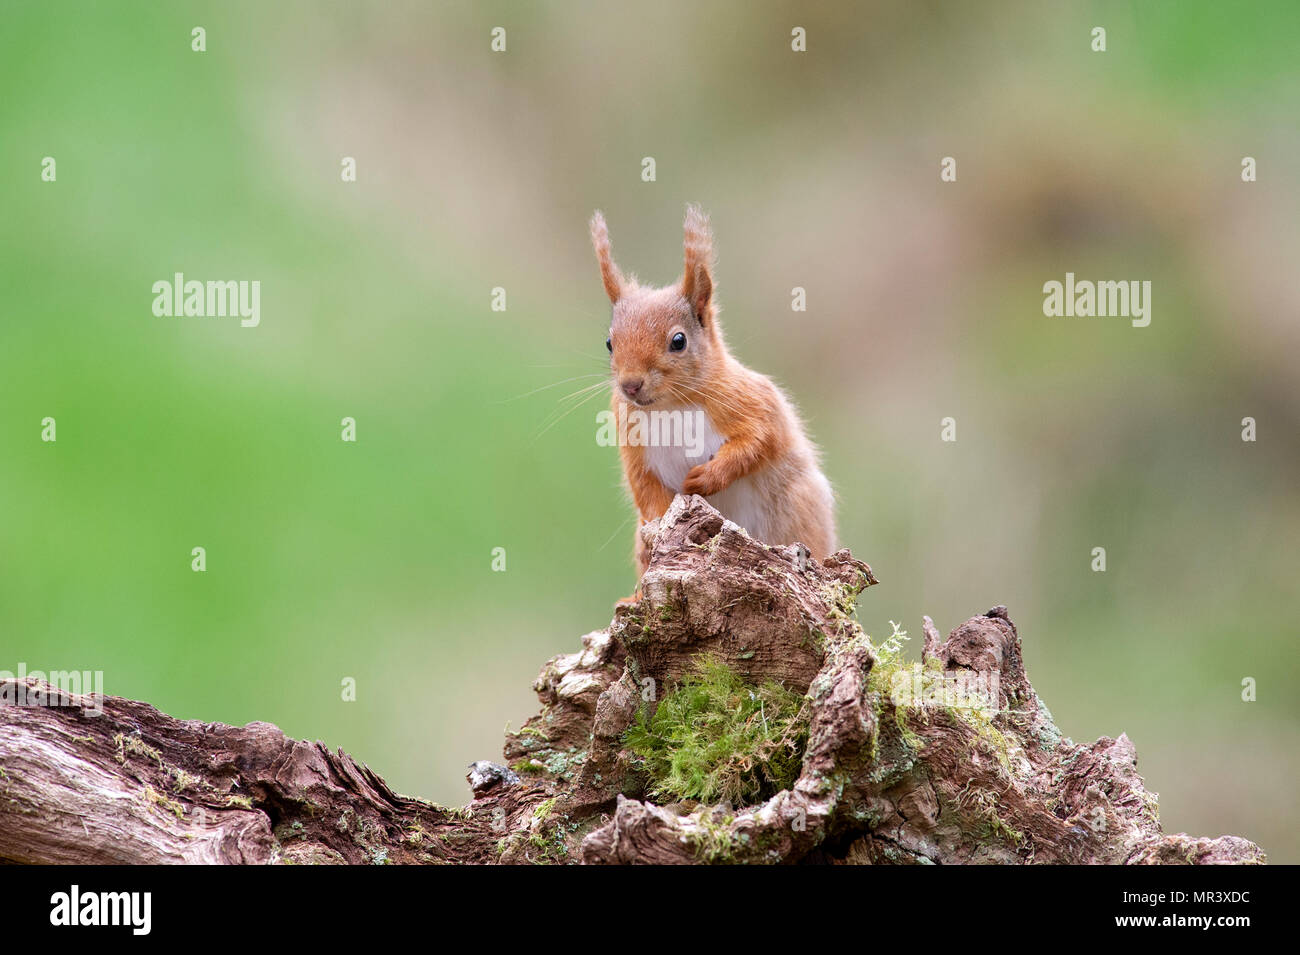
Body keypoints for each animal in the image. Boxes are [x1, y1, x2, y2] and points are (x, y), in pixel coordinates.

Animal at [587, 205, 832, 587]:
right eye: (610, 343)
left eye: (678, 341)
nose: (630, 385)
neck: (671, 406)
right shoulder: (632, 440)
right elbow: (646, 489)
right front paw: (659, 531)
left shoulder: (752, 402)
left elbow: (759, 441)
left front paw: (705, 478)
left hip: (797, 509)